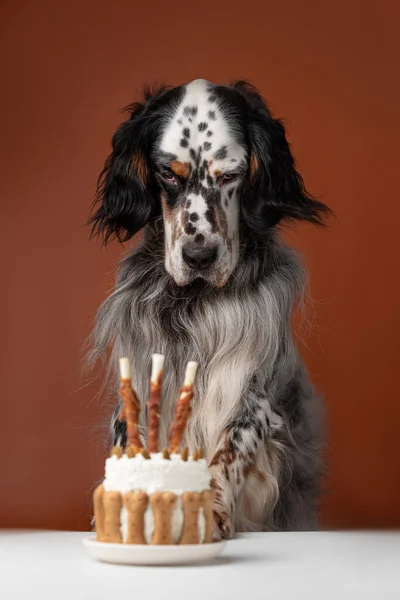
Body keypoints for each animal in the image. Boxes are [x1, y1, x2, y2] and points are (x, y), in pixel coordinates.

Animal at [90, 77, 332, 536]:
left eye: (232, 175)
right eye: (168, 173)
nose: (199, 257)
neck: (194, 301)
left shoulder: (252, 389)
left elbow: (228, 451)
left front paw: (211, 509)